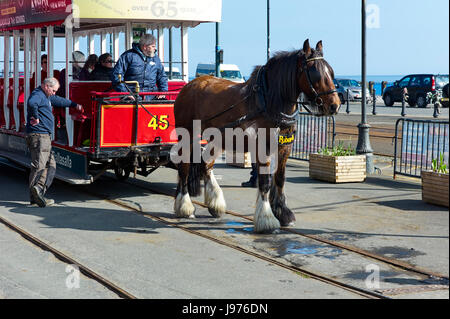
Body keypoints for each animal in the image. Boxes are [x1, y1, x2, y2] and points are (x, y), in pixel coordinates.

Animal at [173, 40, 342, 235]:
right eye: (315, 73)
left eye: (331, 72)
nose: (335, 105)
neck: (269, 101)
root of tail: (189, 86)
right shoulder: (263, 147)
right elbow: (265, 181)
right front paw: (266, 218)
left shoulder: (284, 147)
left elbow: (280, 178)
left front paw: (283, 213)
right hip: (188, 135)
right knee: (184, 167)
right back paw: (185, 206)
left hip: (217, 138)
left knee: (205, 164)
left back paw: (215, 203)